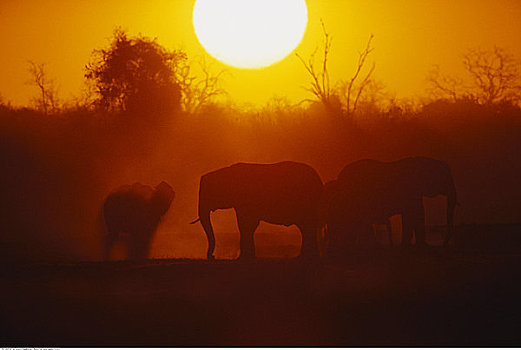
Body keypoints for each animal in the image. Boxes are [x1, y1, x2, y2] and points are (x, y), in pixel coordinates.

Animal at [189, 161, 322, 260]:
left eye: (207, 193)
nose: (212, 256)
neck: (226, 171)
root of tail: (318, 179)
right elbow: (249, 225)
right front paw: (248, 257)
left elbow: (245, 224)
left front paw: (242, 259)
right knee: (306, 228)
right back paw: (306, 257)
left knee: (307, 227)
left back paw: (305, 258)